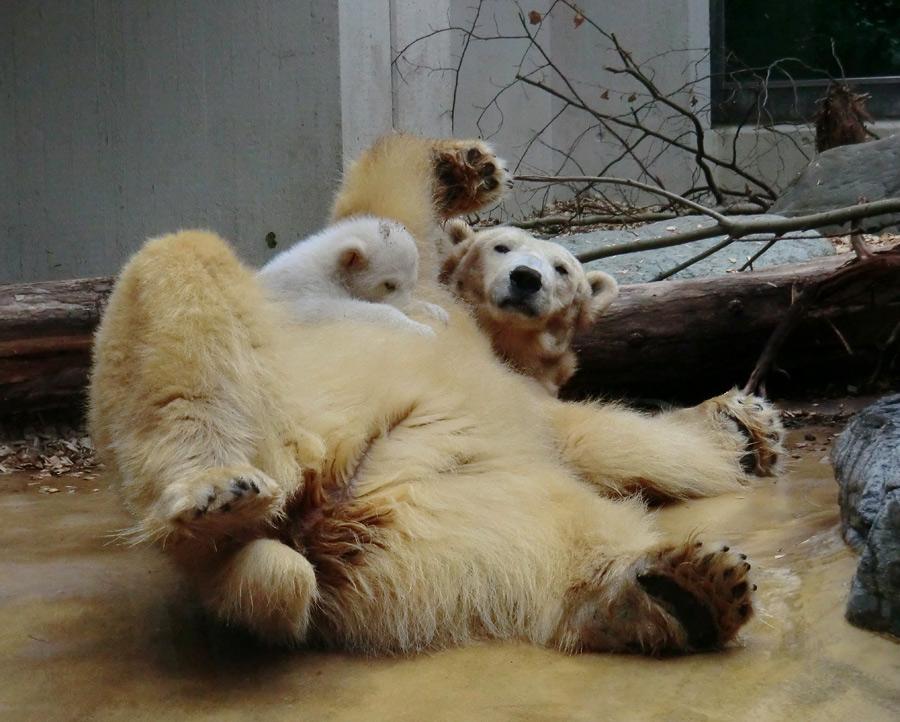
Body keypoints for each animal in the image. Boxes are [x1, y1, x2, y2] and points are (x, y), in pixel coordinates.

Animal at [88, 134, 784, 652]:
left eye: (563, 267)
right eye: (502, 245)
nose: (526, 278)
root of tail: (310, 523)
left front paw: (747, 426)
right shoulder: (421, 280)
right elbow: (383, 200)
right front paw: (464, 165)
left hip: (436, 521)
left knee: (547, 535)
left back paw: (681, 592)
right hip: (261, 401)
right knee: (179, 270)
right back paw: (215, 488)